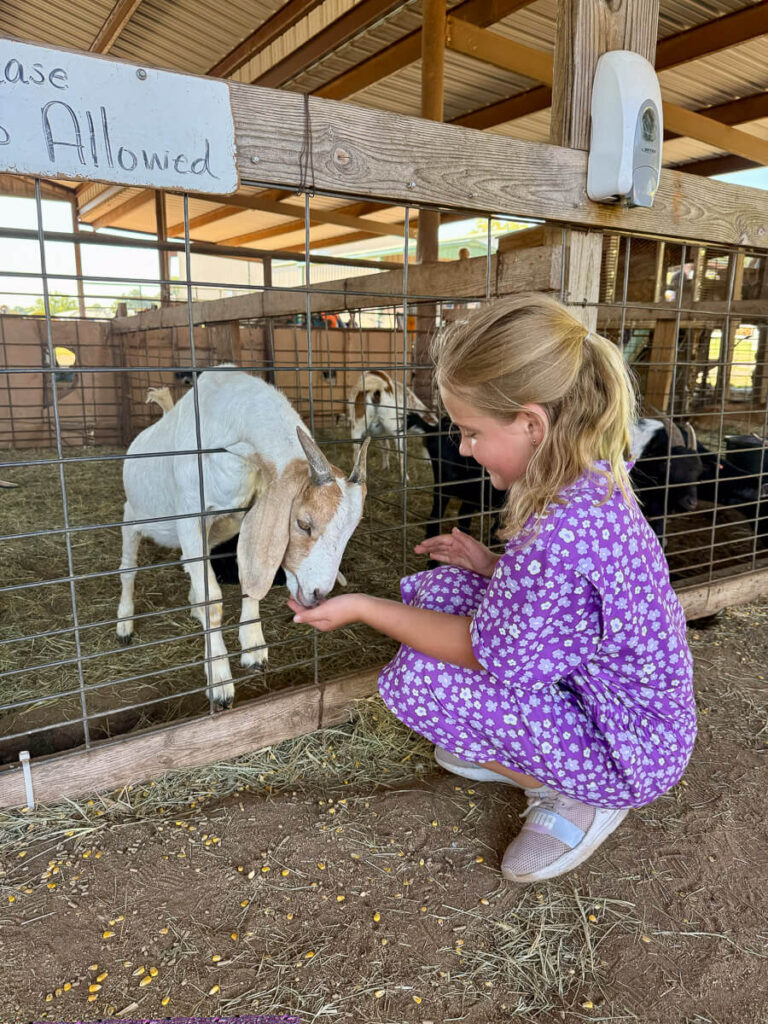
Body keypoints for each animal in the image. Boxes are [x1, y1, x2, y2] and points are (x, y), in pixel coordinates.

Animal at [117, 366, 369, 709]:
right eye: (303, 524)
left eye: (351, 531)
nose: (318, 593)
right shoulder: (190, 519)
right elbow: (213, 602)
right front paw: (220, 681)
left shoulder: (245, 516)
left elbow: (246, 582)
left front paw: (253, 648)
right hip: (133, 517)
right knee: (128, 569)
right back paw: (124, 623)